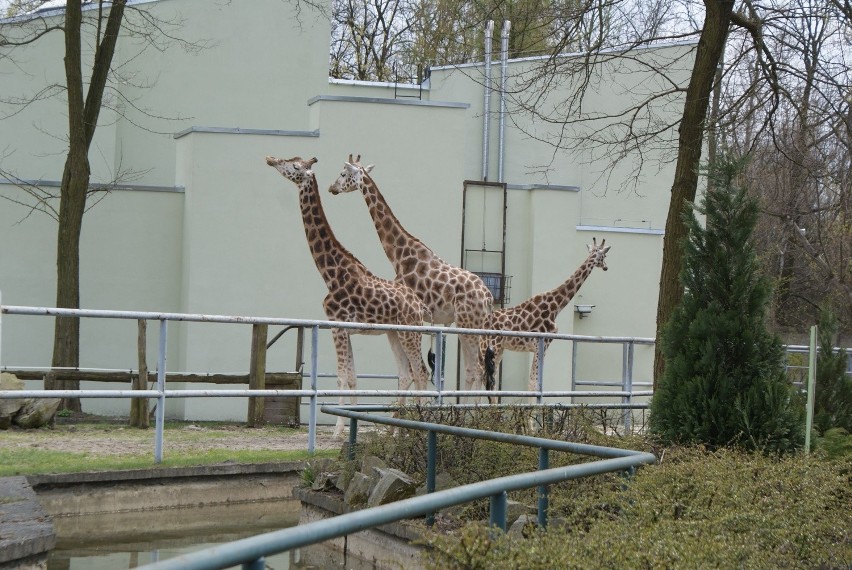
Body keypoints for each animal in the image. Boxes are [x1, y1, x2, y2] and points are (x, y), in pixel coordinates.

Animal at [264, 155, 432, 434]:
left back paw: (416, 427)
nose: (271, 159)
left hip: (410, 333)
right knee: (406, 373)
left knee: (421, 372)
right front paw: (350, 421)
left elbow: (343, 376)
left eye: (296, 166)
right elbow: (352, 376)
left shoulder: (337, 325)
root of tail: (421, 307)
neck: (331, 273)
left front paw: (337, 429)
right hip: (393, 333)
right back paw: (397, 429)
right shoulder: (344, 328)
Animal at [330, 153, 496, 398]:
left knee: (477, 368)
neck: (399, 254)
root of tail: (489, 297)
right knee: (474, 369)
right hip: (469, 325)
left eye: (343, 173)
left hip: (470, 324)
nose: (331, 188)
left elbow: (415, 371)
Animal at [482, 237, 608, 402]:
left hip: (497, 349)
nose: (606, 267)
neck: (556, 306)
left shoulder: (539, 347)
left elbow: (535, 383)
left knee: (489, 380)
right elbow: (534, 383)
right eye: (604, 255)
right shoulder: (542, 344)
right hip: (492, 347)